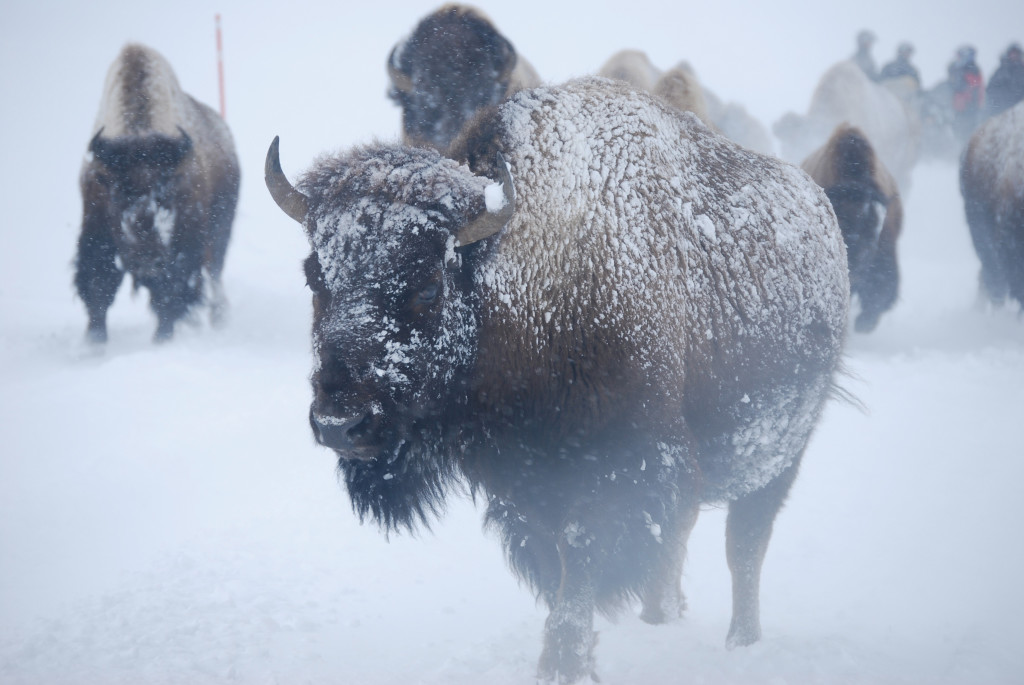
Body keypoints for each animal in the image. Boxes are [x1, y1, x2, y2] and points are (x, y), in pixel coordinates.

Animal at [76, 43, 239, 341]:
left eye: (167, 194)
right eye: (117, 195)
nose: (149, 261)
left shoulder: (184, 243)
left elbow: (171, 293)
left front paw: (162, 339)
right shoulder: (95, 226)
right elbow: (98, 286)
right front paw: (94, 343)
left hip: (221, 230)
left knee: (213, 273)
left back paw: (218, 318)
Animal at [264, 77, 847, 679]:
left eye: (429, 285)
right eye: (314, 275)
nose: (340, 423)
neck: (532, 286)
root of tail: (823, 214)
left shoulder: (618, 469)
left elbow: (581, 565)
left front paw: (562, 663)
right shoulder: (528, 485)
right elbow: (565, 567)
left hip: (779, 456)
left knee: (745, 547)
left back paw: (742, 642)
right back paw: (662, 619)